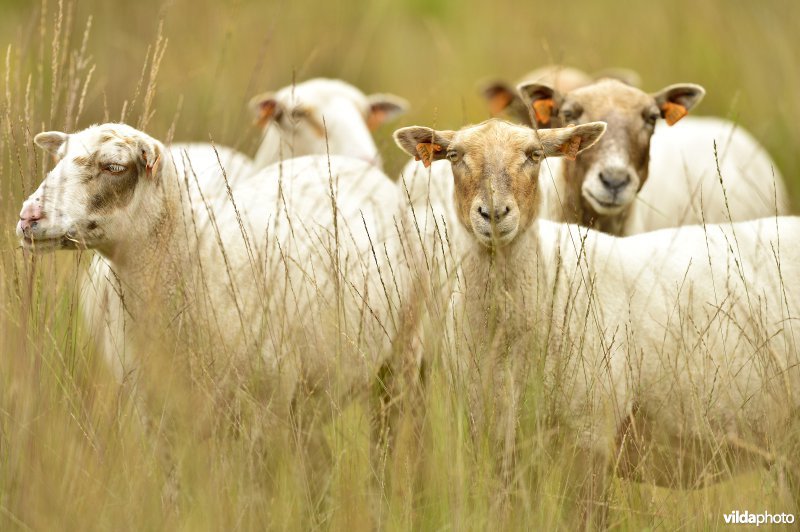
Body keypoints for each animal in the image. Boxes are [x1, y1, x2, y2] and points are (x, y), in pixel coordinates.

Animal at [21, 122, 416, 442]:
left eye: (113, 166)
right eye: (58, 160)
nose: (28, 217)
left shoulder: (265, 410)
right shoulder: (155, 412)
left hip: (403, 357)